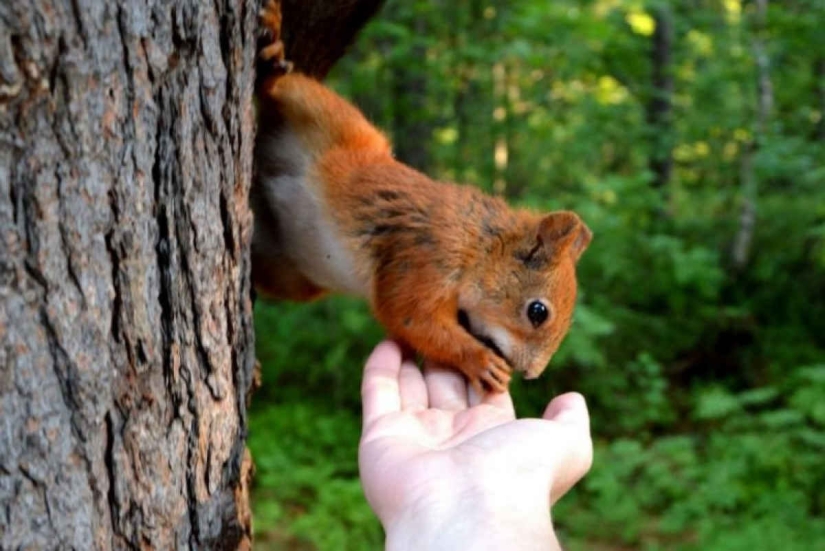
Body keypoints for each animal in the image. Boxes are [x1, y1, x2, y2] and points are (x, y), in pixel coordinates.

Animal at [253, 2, 592, 394]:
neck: (477, 245)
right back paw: (273, 52)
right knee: (283, 87)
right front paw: (480, 361)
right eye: (538, 312)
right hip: (328, 116)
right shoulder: (427, 254)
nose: (531, 374)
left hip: (291, 273)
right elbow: (409, 315)